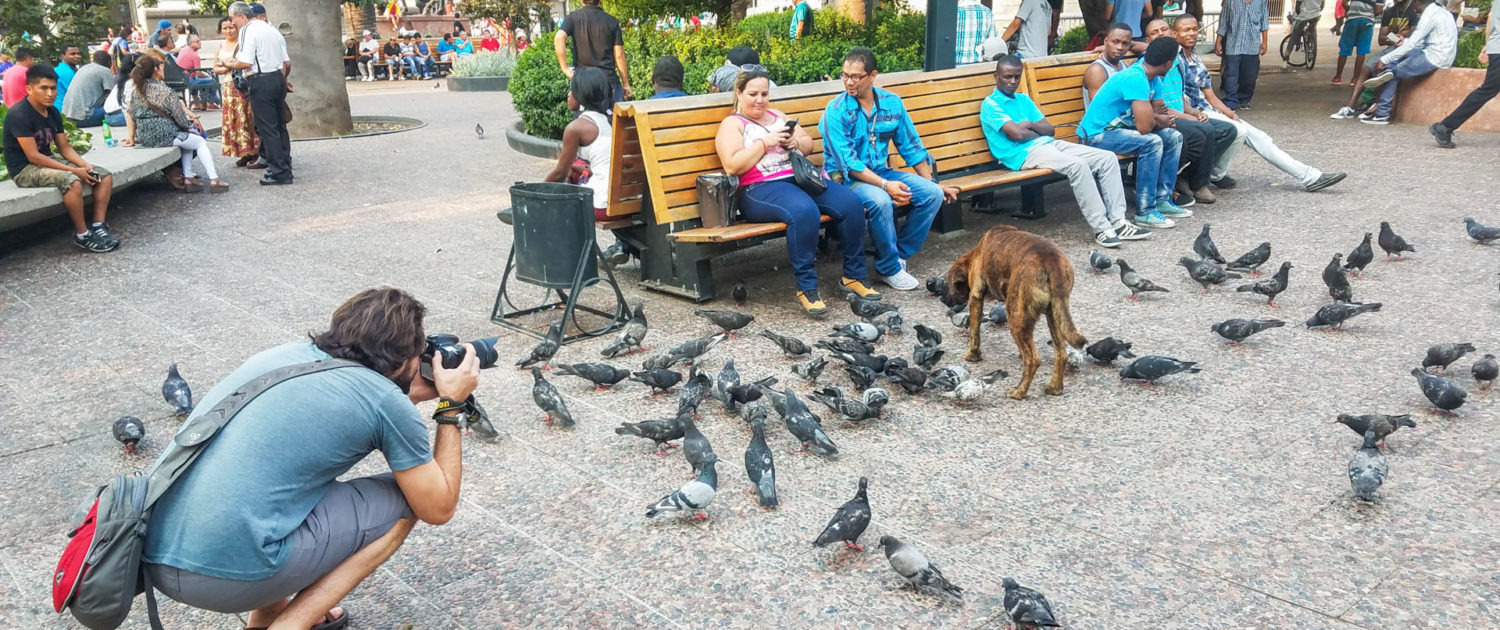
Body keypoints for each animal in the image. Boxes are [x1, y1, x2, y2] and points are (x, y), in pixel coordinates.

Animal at [942, 226, 1086, 399]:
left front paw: (972, 355)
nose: (942, 298)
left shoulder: (975, 296)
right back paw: (1055, 387)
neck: (977, 252)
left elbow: (974, 331)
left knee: (1033, 360)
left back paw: (1019, 391)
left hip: (1015, 318)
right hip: (1054, 315)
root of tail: (1051, 262)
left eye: (949, 286)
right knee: (1061, 354)